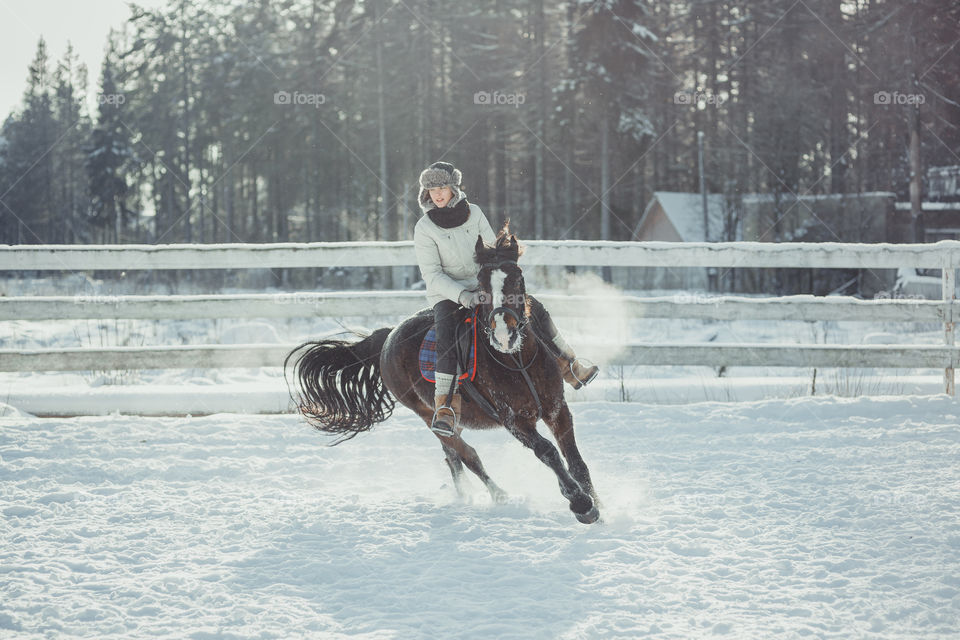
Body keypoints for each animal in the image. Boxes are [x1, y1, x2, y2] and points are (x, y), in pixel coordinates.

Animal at [284, 225, 600, 524]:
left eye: (518, 279)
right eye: (481, 284)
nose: (503, 335)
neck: (517, 362)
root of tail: (388, 337)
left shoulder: (557, 409)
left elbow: (574, 459)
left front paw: (596, 501)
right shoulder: (515, 421)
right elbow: (548, 452)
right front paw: (581, 504)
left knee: (452, 457)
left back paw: (466, 494)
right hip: (428, 416)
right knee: (468, 456)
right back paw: (500, 496)